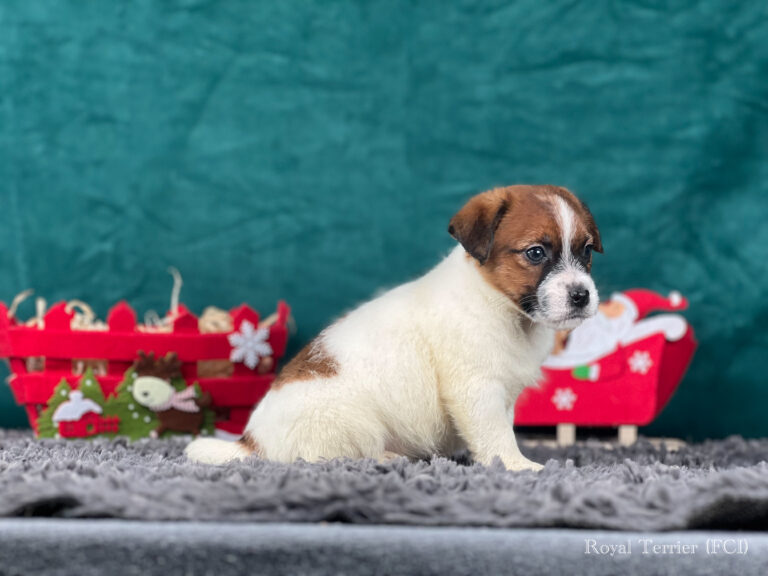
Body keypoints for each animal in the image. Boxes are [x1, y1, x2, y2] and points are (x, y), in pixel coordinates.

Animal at [186, 187, 600, 470]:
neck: (499, 303)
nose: (582, 295)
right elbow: (496, 435)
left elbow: (501, 428)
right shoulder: (477, 390)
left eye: (586, 251)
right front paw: (517, 466)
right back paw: (389, 457)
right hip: (352, 424)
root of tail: (252, 442)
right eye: (535, 253)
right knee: (330, 457)